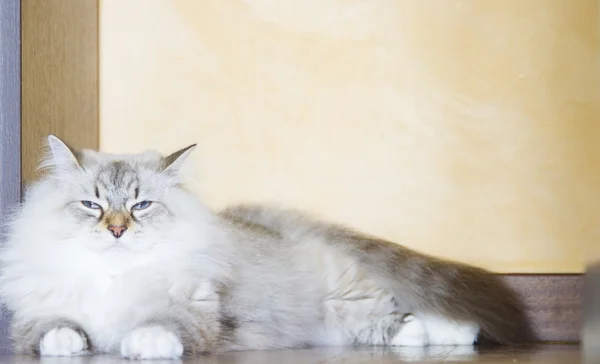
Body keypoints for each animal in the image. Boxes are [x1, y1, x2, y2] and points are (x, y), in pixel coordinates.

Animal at [0, 136, 536, 358]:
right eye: (91, 205)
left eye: (142, 205)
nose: (116, 231)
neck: (113, 277)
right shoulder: (34, 314)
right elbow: (53, 330)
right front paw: (69, 345)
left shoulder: (195, 311)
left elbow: (161, 323)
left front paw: (145, 344)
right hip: (335, 324)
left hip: (347, 302)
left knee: (405, 318)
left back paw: (462, 334)